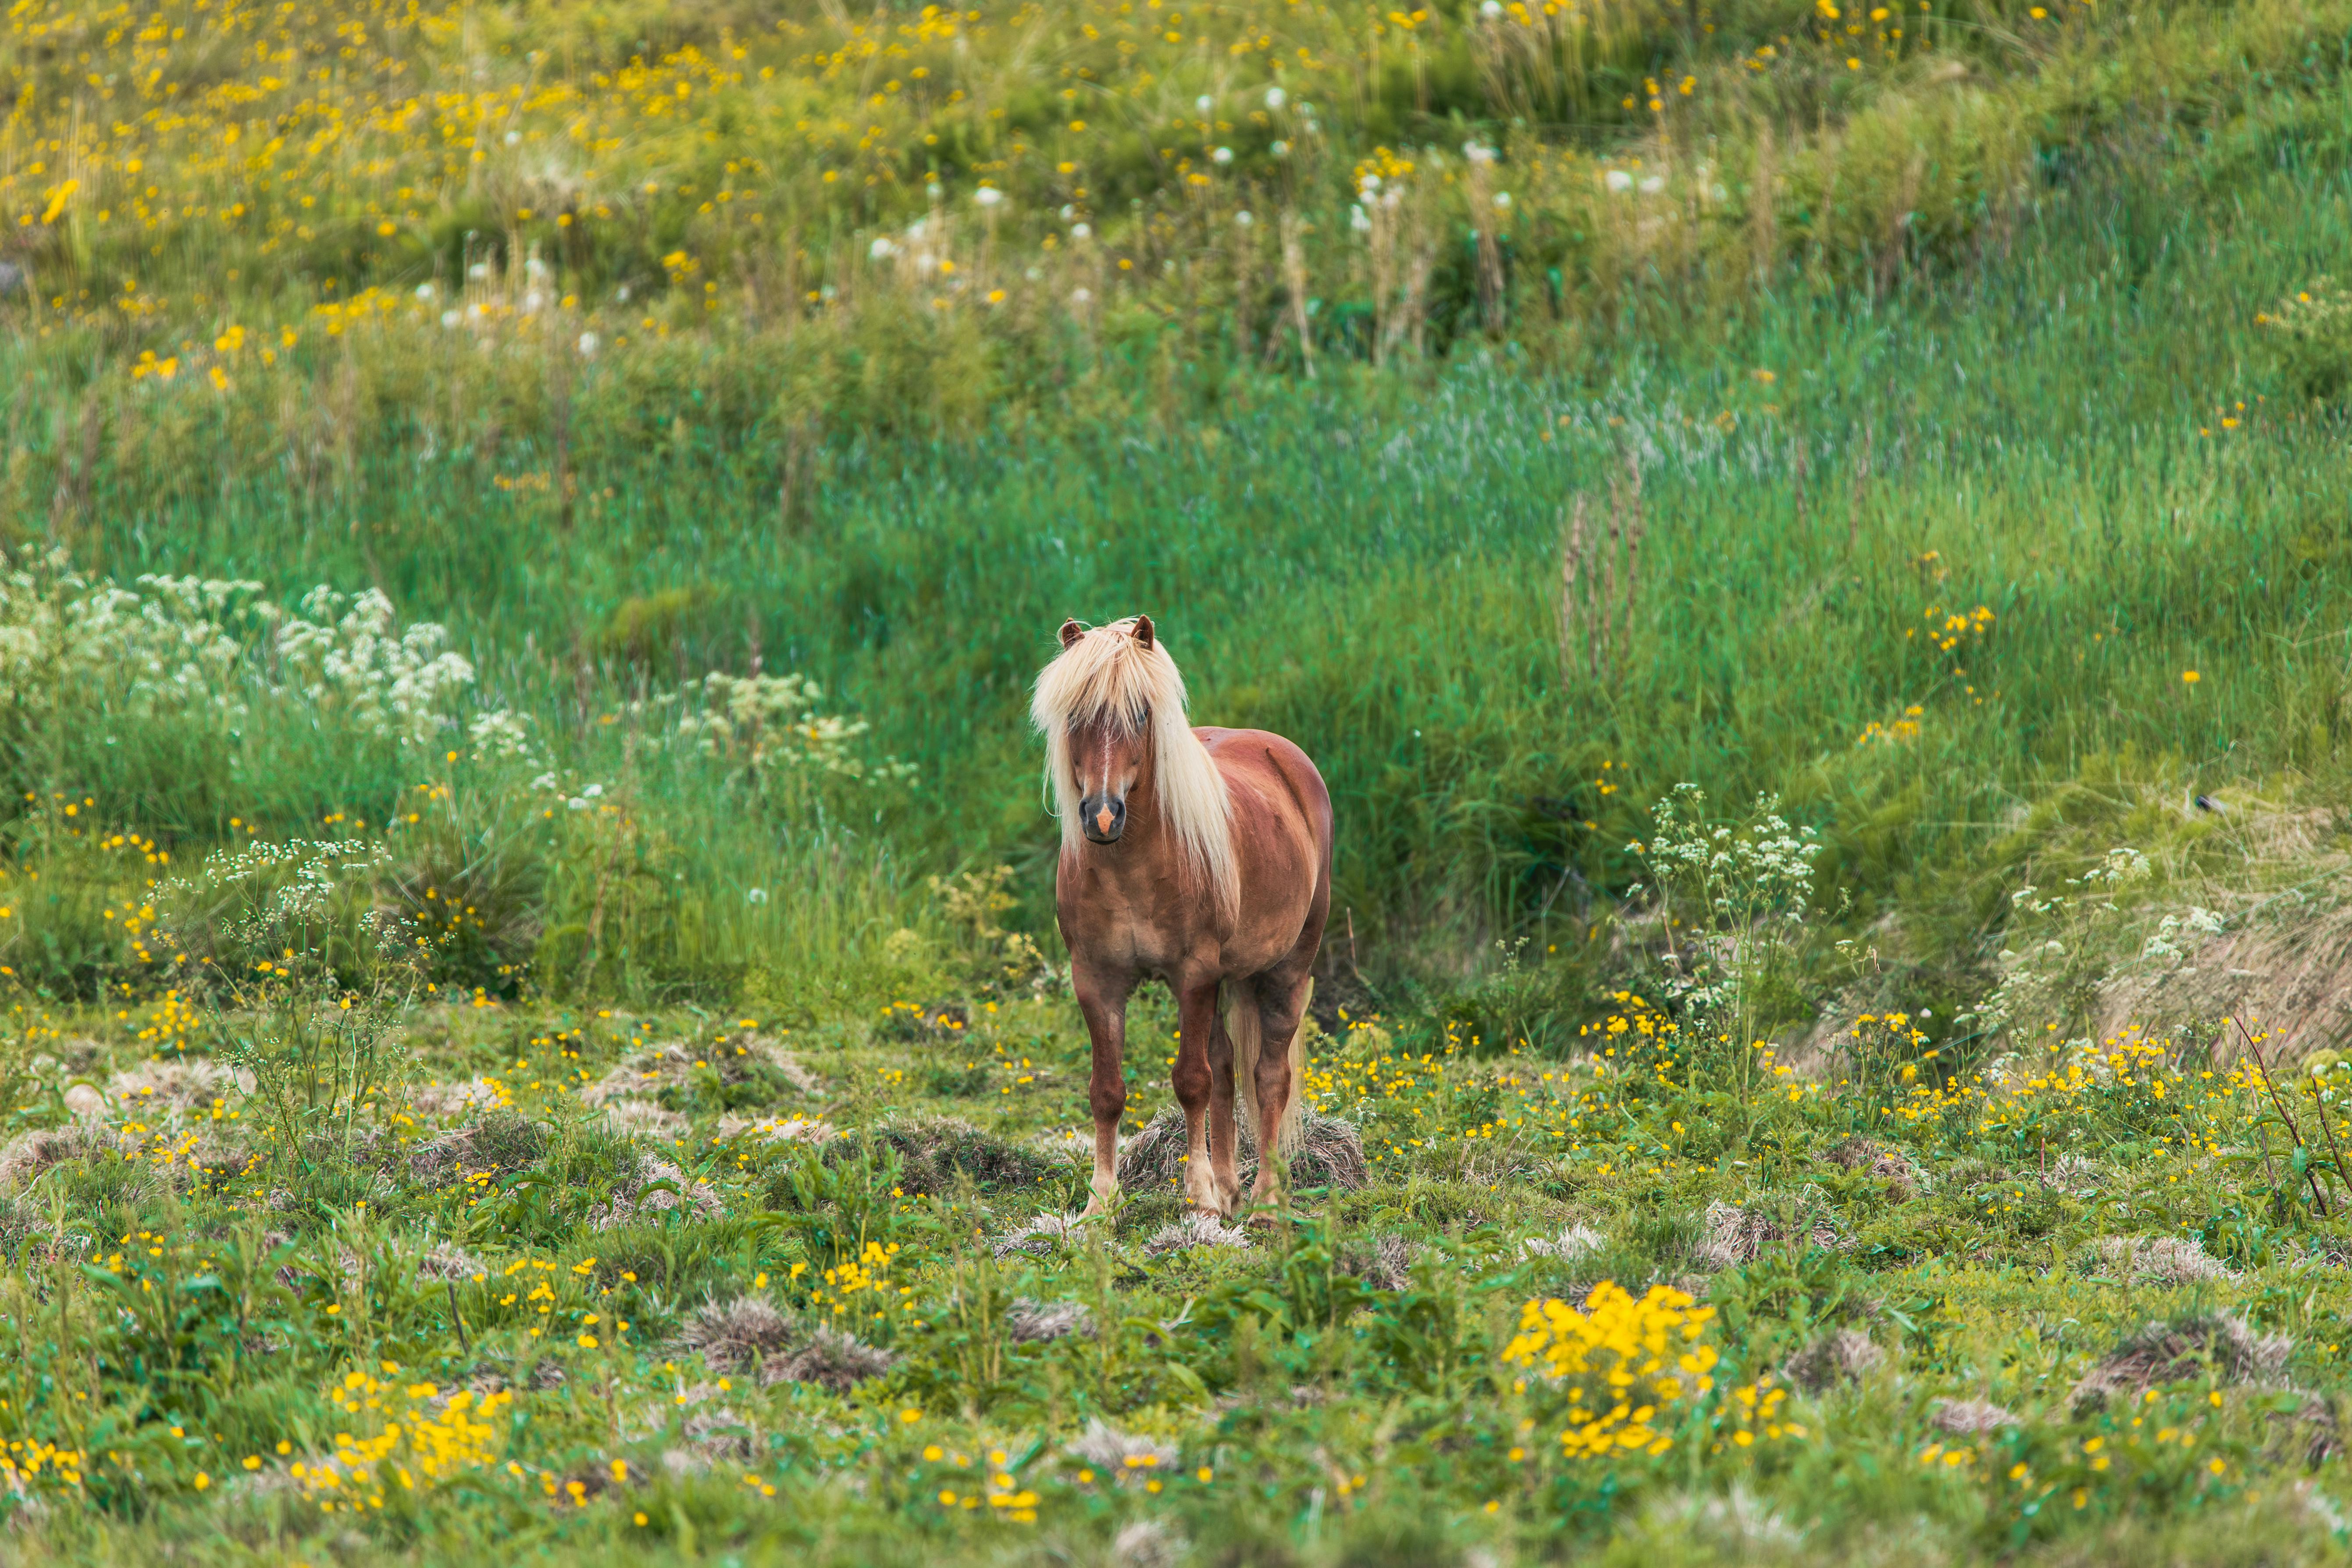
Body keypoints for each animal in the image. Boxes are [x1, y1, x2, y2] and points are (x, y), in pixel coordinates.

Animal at [1025, 620, 1336, 1222]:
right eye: (1075, 715)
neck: (1129, 867)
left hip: (1286, 970)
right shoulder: (1096, 982)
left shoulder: (1193, 976)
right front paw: (1102, 1204)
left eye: (1141, 714)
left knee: (1269, 1079)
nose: (1102, 816)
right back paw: (1232, 1189)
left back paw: (1265, 1201)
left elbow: (1191, 1082)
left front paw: (1199, 1199)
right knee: (1227, 1069)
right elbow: (1108, 1090)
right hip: (1223, 983)